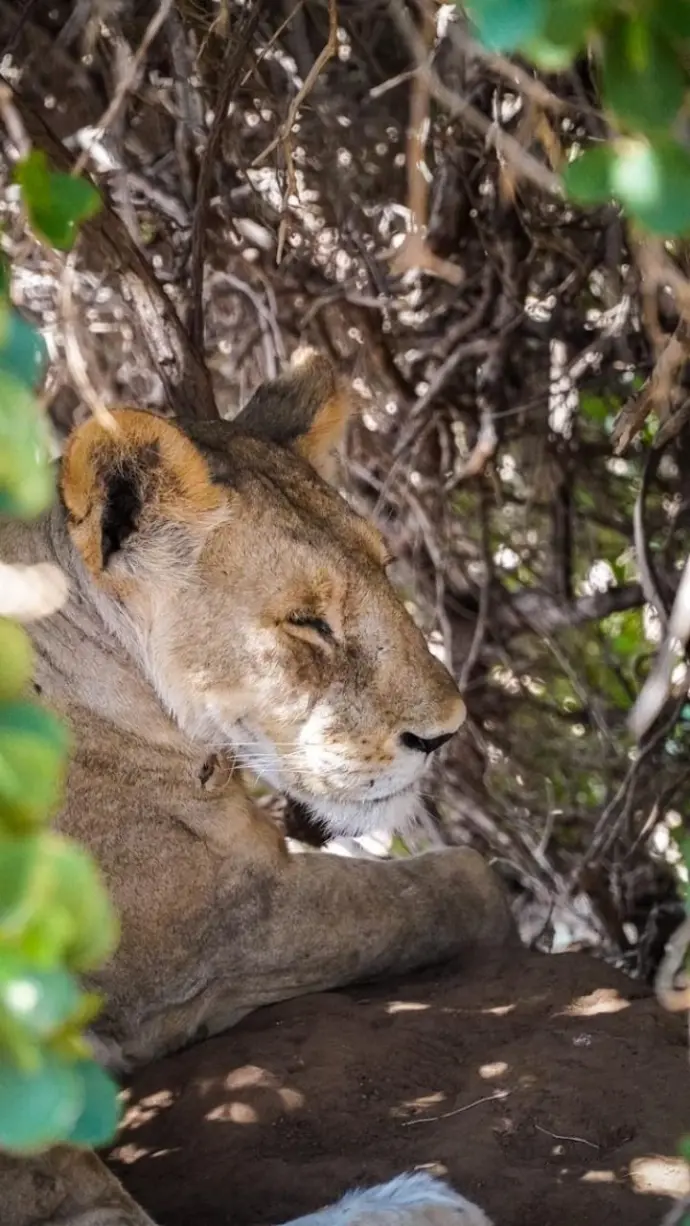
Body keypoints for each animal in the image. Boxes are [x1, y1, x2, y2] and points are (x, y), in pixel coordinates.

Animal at [0, 350, 512, 1226]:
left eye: (386, 570)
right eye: (306, 621)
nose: (446, 733)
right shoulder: (221, 939)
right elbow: (430, 893)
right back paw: (417, 1203)